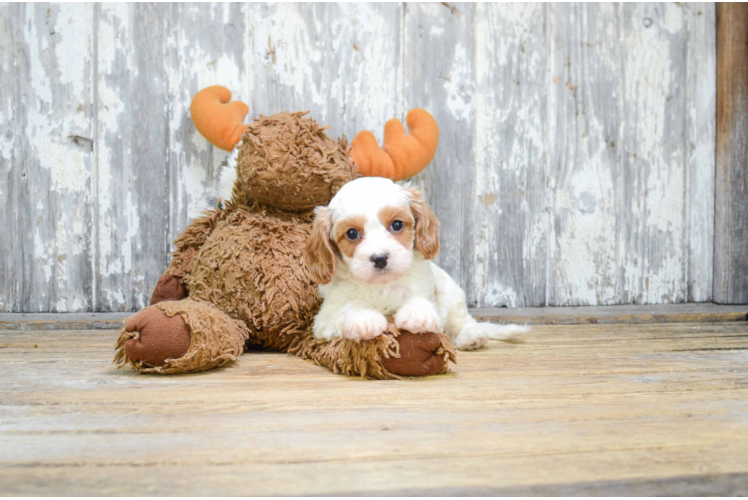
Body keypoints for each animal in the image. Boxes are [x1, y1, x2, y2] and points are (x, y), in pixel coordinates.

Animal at [300, 178, 528, 350]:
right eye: (352, 233)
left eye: (397, 224)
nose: (380, 258)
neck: (382, 286)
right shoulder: (323, 321)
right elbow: (349, 306)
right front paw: (364, 319)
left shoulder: (426, 290)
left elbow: (418, 299)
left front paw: (417, 315)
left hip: (451, 293)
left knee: (462, 320)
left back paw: (471, 336)